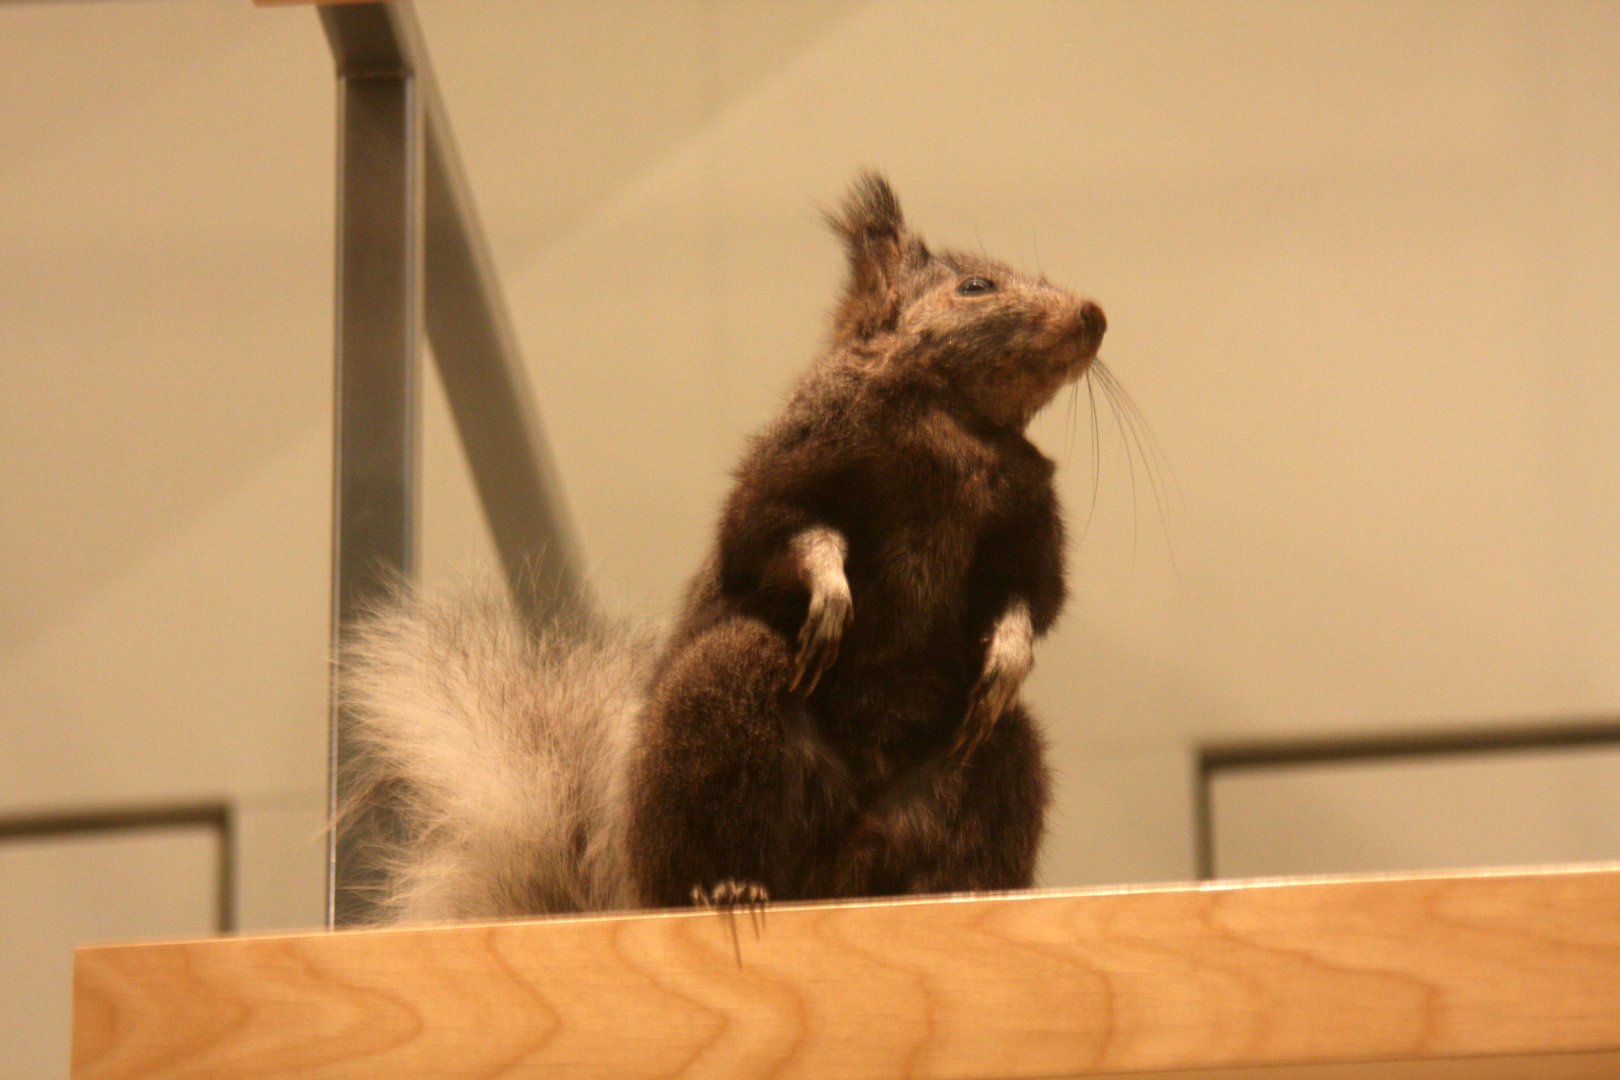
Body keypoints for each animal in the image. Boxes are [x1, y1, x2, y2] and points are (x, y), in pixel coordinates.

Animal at [340, 173, 1106, 922]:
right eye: (975, 286)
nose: (1093, 316)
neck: (957, 425)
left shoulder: (1027, 516)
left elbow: (1028, 597)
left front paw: (1008, 654)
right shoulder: (789, 469)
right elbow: (782, 537)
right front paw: (831, 593)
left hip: (990, 757)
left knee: (967, 788)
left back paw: (959, 889)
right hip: (722, 705)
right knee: (717, 849)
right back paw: (731, 887)